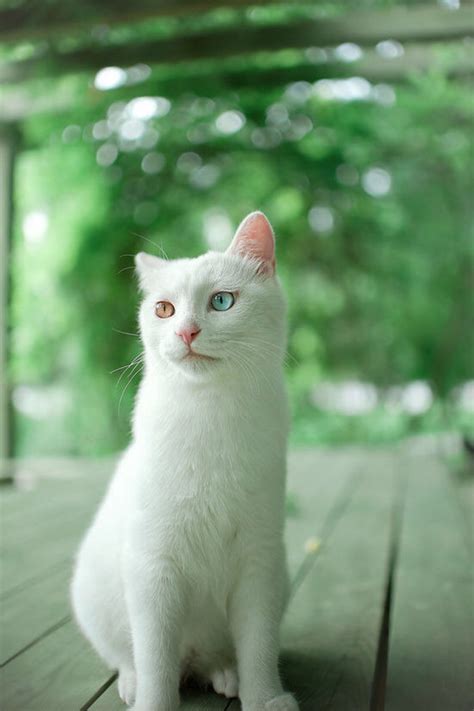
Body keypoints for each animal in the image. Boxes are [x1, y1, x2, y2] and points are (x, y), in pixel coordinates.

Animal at [70, 213, 298, 711]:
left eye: (222, 301)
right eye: (163, 310)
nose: (185, 333)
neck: (210, 412)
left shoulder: (259, 561)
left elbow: (259, 645)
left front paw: (265, 698)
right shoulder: (153, 566)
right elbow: (157, 659)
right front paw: (153, 702)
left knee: (214, 655)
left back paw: (226, 674)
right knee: (136, 656)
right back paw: (132, 682)